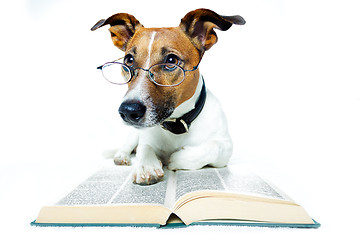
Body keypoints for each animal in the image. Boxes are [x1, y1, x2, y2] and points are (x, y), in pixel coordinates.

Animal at [91, 8, 246, 185]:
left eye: (171, 60)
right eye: (128, 60)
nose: (128, 111)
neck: (176, 123)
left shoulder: (226, 147)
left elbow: (213, 147)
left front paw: (178, 158)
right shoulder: (145, 136)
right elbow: (145, 148)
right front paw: (146, 166)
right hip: (133, 134)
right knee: (127, 146)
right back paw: (121, 156)